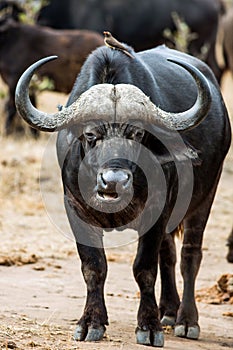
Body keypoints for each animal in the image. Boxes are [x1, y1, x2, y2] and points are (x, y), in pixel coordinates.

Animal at [15, 34, 231, 344]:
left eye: (138, 134)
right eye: (91, 134)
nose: (113, 180)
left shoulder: (157, 209)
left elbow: (144, 268)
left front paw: (148, 327)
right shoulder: (76, 209)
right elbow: (94, 266)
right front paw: (91, 322)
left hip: (205, 197)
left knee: (190, 255)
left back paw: (186, 320)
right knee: (169, 254)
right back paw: (169, 310)